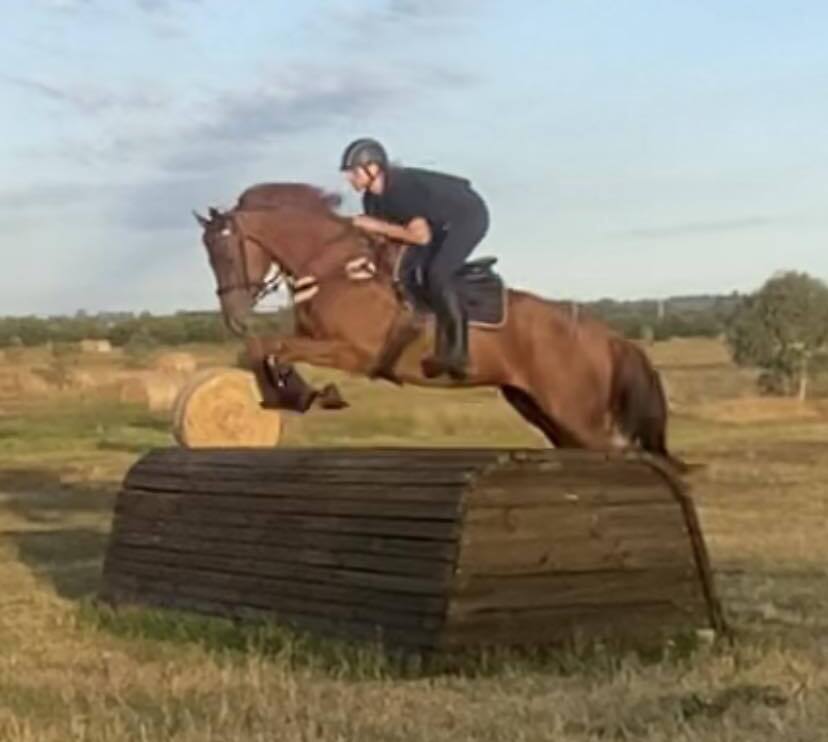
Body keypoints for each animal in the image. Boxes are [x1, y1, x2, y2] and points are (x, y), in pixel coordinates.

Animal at [193, 182, 686, 472]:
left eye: (227, 252)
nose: (234, 315)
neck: (335, 267)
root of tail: (608, 337)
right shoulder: (315, 339)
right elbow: (259, 349)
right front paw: (293, 394)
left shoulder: (354, 351)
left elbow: (268, 344)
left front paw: (306, 393)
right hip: (540, 407)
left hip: (575, 411)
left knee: (621, 450)